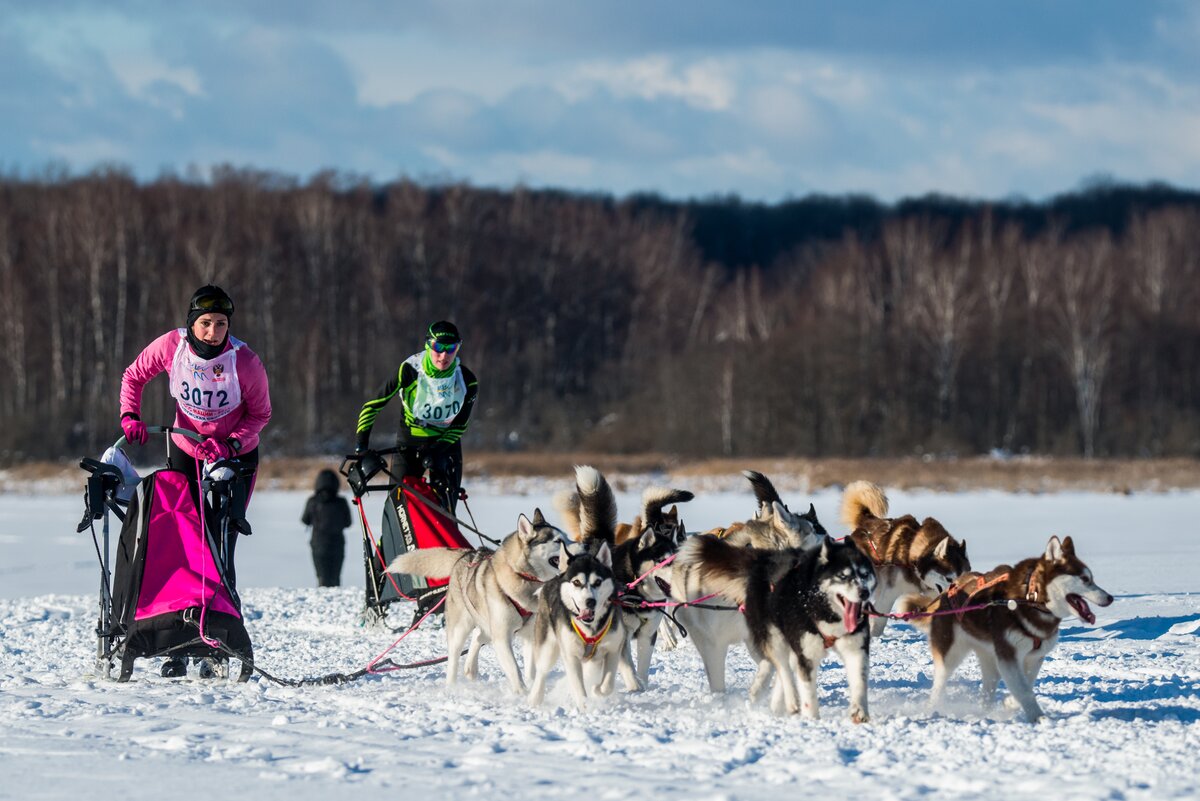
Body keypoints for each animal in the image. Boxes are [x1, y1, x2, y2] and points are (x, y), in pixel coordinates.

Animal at [386, 513, 568, 695]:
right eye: (558, 540)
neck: (522, 577)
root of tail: (465, 555)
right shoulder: (501, 637)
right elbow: (514, 669)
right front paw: (522, 693)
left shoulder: (529, 636)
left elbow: (531, 670)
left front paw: (531, 687)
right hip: (461, 628)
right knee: (454, 657)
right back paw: (452, 686)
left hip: (486, 624)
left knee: (478, 635)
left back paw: (470, 668)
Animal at [525, 465, 638, 709]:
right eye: (576, 582)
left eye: (597, 582)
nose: (590, 601)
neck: (591, 629)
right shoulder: (571, 656)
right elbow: (578, 684)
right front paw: (585, 706)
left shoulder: (612, 649)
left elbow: (607, 682)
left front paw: (598, 691)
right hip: (548, 646)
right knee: (542, 671)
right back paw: (535, 697)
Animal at [681, 534, 878, 724]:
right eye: (843, 576)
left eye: (865, 574)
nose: (864, 593)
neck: (823, 610)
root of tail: (762, 559)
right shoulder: (806, 655)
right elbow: (807, 691)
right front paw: (812, 720)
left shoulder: (856, 650)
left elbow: (859, 682)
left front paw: (860, 712)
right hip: (773, 637)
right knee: (782, 667)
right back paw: (791, 700)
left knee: (782, 668)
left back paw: (775, 702)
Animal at [902, 534, 1113, 724]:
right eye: (1085, 579)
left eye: (1092, 578)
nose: (1110, 597)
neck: (1031, 598)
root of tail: (948, 590)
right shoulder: (1008, 655)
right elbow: (1024, 689)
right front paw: (1039, 717)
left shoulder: (1034, 656)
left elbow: (1026, 683)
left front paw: (1011, 702)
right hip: (951, 652)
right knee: (940, 681)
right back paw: (934, 707)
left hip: (989, 657)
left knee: (988, 685)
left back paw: (985, 711)